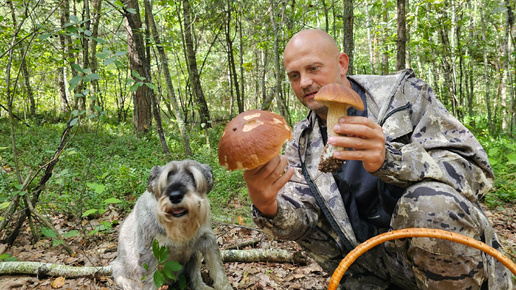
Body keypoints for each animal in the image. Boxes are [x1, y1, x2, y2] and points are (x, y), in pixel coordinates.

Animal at [110, 160, 232, 288]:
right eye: (167, 177)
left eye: (192, 175)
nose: (175, 196)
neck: (179, 225)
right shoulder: (149, 254)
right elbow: (149, 282)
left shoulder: (207, 240)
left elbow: (219, 271)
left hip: (195, 255)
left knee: (195, 278)